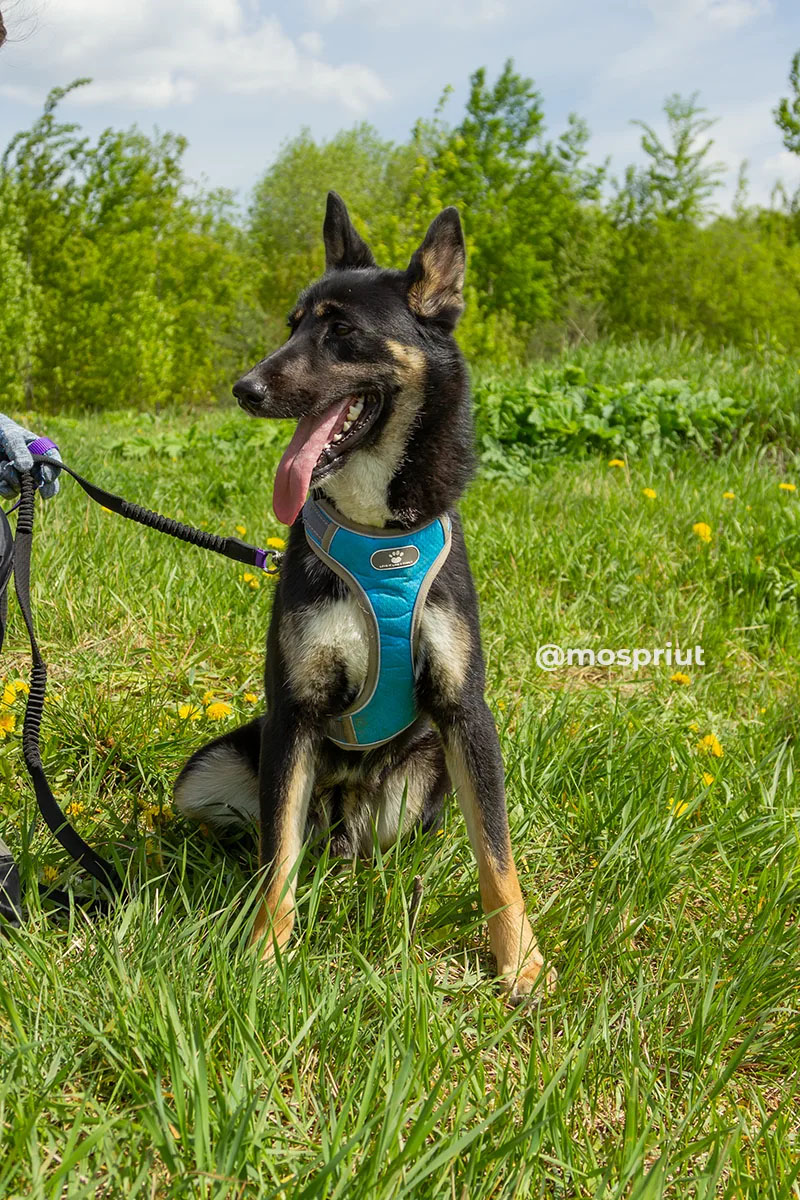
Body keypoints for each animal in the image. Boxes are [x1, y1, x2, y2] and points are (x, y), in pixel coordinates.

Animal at [173, 194, 556, 1003]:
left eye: (341, 330)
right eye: (291, 324)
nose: (246, 388)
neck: (376, 536)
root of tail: (343, 821)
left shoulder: (465, 711)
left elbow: (498, 855)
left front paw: (519, 960)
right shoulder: (293, 712)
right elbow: (277, 854)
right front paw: (265, 953)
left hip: (425, 774)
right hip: (218, 765)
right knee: (271, 833)